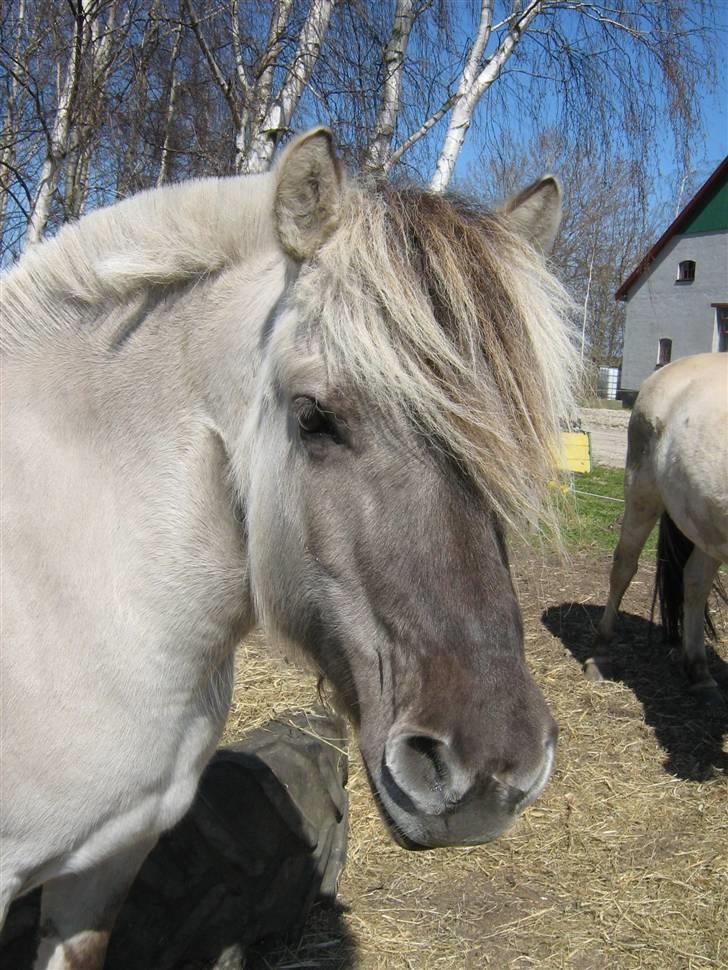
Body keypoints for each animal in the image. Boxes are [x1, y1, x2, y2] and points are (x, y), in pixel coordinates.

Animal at [596, 352, 728, 700]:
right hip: (642, 493)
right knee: (624, 566)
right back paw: (601, 645)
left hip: (705, 524)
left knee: (695, 580)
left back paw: (698, 671)